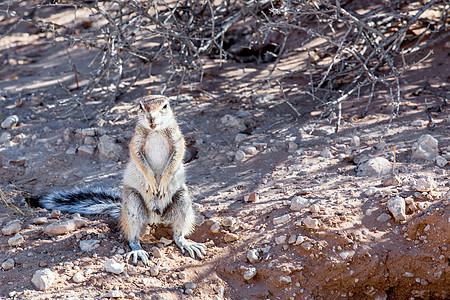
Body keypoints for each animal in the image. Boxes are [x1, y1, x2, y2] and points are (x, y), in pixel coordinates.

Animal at [37, 95, 207, 264]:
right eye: (141, 106)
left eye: (164, 106)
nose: (151, 118)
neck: (155, 131)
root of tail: (155, 219)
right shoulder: (136, 142)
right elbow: (138, 159)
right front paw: (151, 181)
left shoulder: (177, 139)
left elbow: (177, 156)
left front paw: (163, 182)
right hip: (132, 203)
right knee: (132, 236)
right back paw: (138, 250)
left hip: (182, 200)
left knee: (178, 233)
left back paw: (186, 243)